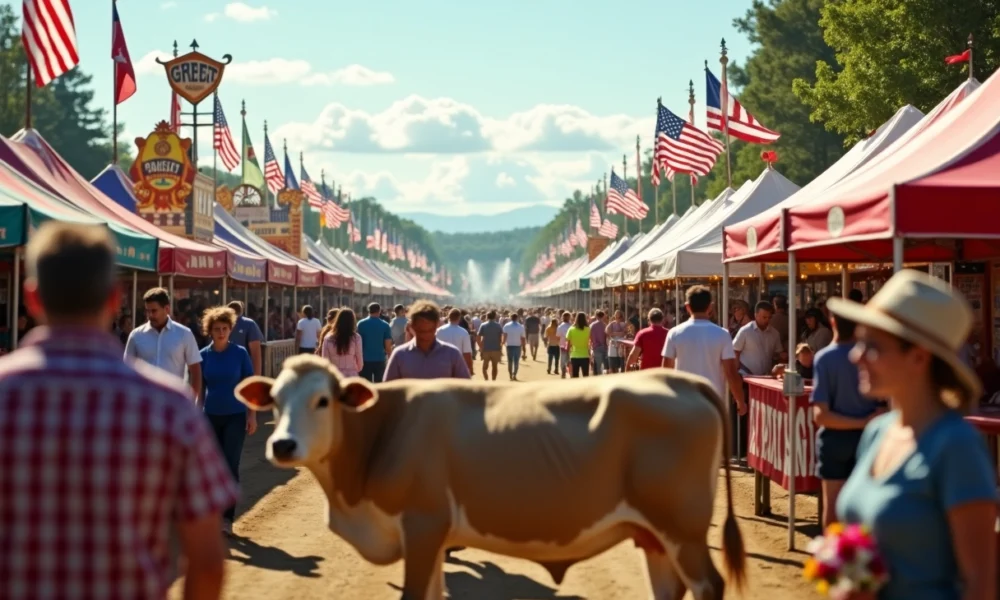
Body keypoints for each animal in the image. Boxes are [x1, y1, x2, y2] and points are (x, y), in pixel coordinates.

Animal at [238, 354, 748, 600]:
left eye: (323, 400)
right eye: (275, 399)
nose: (282, 445)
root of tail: (682, 381)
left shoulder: (422, 525)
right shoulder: (434, 538)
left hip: (681, 526)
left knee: (708, 585)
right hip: (654, 534)